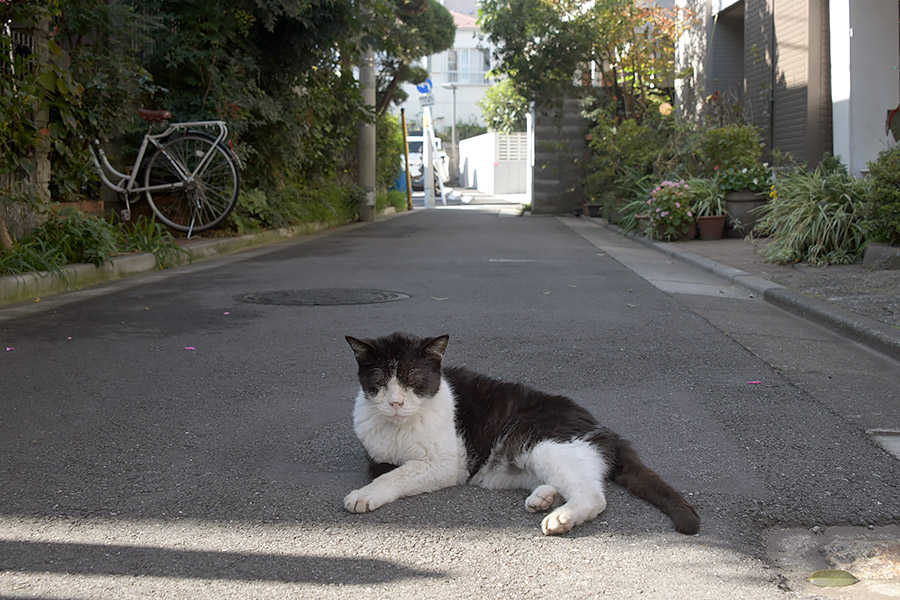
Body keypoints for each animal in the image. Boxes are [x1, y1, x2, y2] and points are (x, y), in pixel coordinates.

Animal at [342, 332, 700, 536]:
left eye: (412, 376)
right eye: (379, 378)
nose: (396, 402)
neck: (399, 427)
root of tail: (603, 427)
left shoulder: (444, 465)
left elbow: (396, 475)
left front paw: (364, 495)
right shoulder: (375, 456)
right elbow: (385, 469)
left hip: (544, 444)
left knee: (593, 496)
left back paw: (561, 518)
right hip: (514, 467)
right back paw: (544, 499)